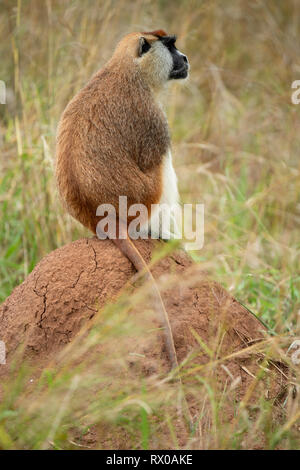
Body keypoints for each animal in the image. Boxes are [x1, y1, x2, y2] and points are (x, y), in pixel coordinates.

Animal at [55, 30, 189, 370]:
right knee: (162, 167)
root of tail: (101, 220)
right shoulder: (152, 116)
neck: (128, 68)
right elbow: (156, 157)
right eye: (171, 46)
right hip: (144, 198)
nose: (185, 58)